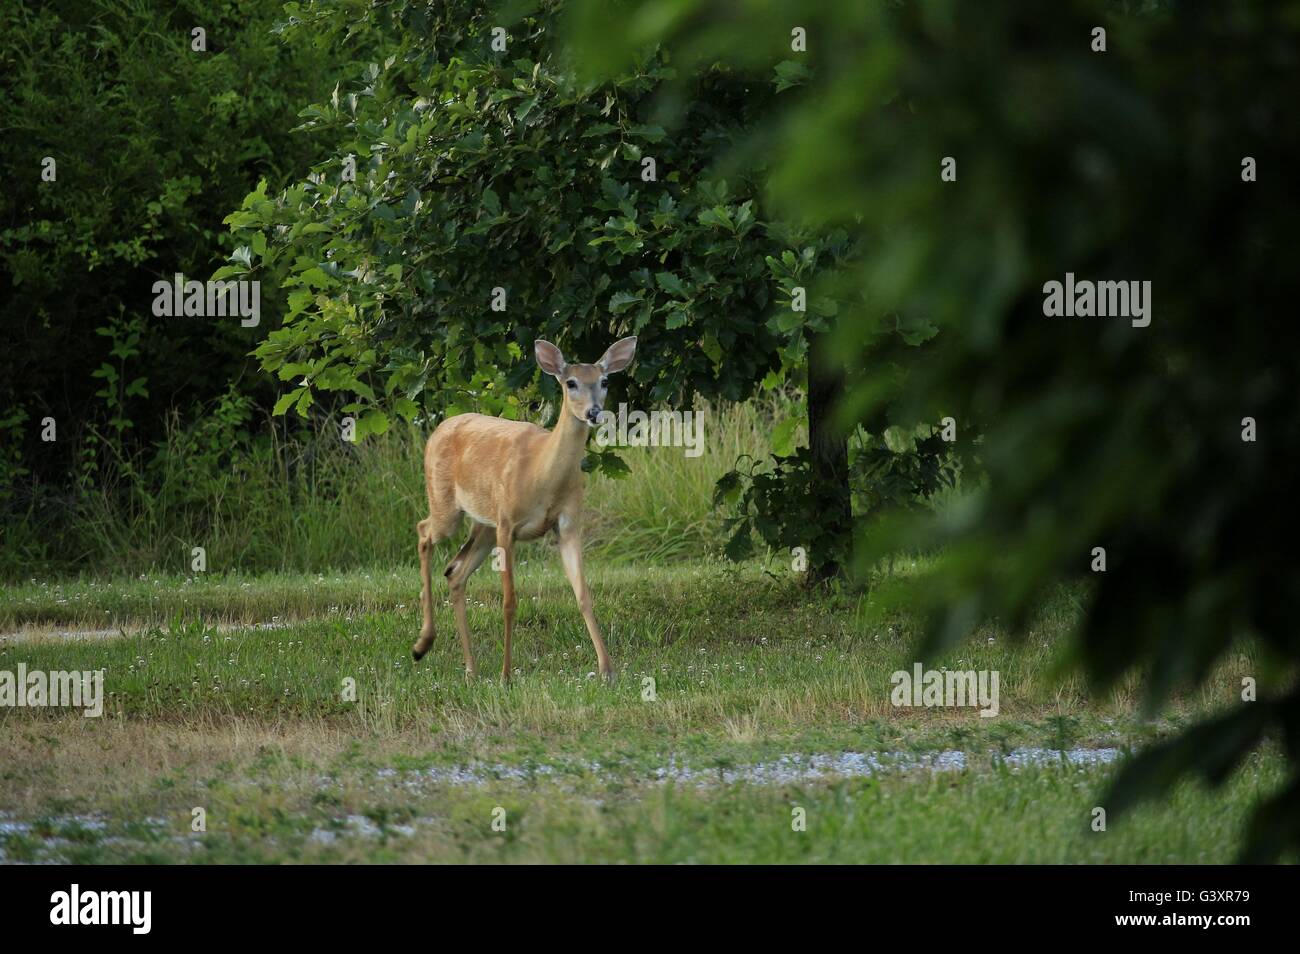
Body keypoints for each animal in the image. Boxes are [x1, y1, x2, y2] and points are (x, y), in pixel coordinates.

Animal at [410, 340, 634, 686]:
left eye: (605, 381)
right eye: (571, 382)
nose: (594, 412)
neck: (542, 475)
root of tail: (437, 430)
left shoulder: (567, 525)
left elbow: (583, 594)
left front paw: (608, 670)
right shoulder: (508, 524)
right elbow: (509, 602)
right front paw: (505, 675)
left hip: (483, 526)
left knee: (455, 572)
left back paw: (471, 670)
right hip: (448, 506)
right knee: (424, 532)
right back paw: (423, 645)